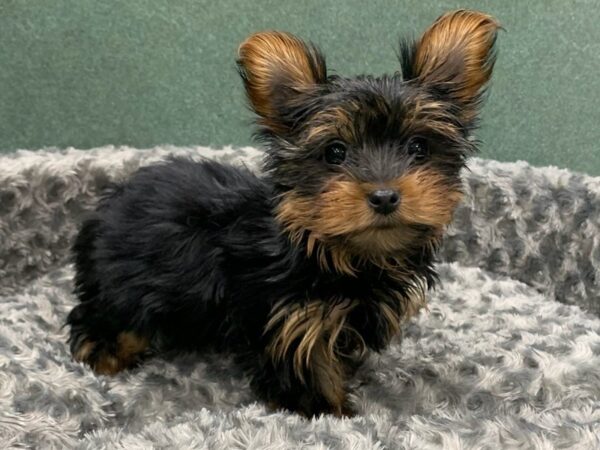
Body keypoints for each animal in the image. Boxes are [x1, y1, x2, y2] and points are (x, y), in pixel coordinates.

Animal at [67, 10, 496, 416]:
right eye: (335, 152)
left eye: (418, 148)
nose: (384, 196)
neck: (341, 253)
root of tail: (111, 202)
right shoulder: (291, 321)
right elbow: (311, 376)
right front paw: (333, 413)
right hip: (123, 282)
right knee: (106, 317)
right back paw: (106, 353)